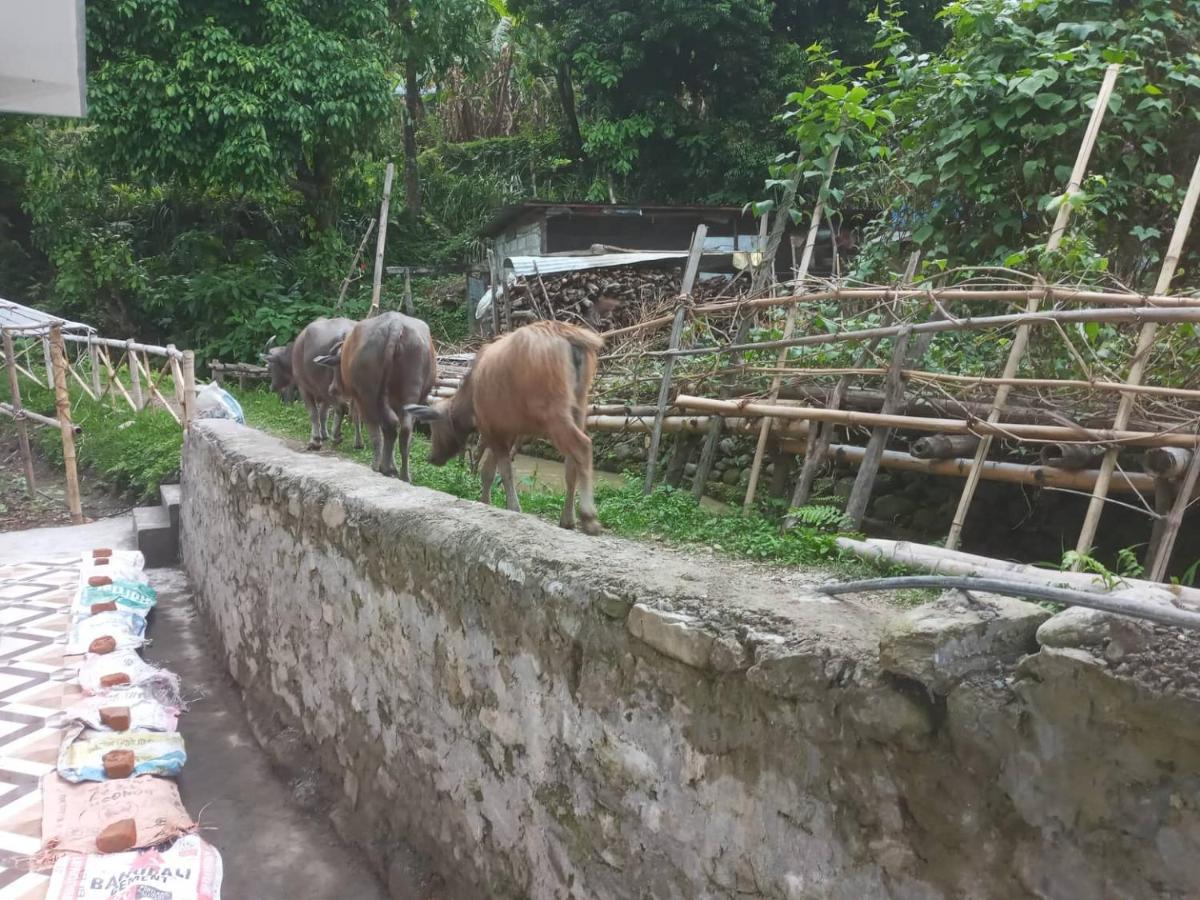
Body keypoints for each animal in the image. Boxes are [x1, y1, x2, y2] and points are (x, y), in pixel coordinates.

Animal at [292, 321, 362, 453]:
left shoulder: (304, 388)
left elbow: (314, 413)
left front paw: (315, 440)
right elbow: (323, 413)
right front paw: (324, 435)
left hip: (324, 388)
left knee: (341, 407)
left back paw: (336, 437)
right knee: (355, 412)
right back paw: (358, 443)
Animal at [405, 321, 609, 535]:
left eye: (434, 427)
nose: (431, 457)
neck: (470, 396)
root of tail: (569, 335)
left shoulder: (492, 431)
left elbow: (501, 472)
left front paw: (511, 506)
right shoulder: (506, 431)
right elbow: (489, 471)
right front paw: (486, 501)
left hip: (554, 413)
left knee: (582, 446)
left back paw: (589, 517)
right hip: (580, 407)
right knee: (571, 464)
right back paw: (568, 519)